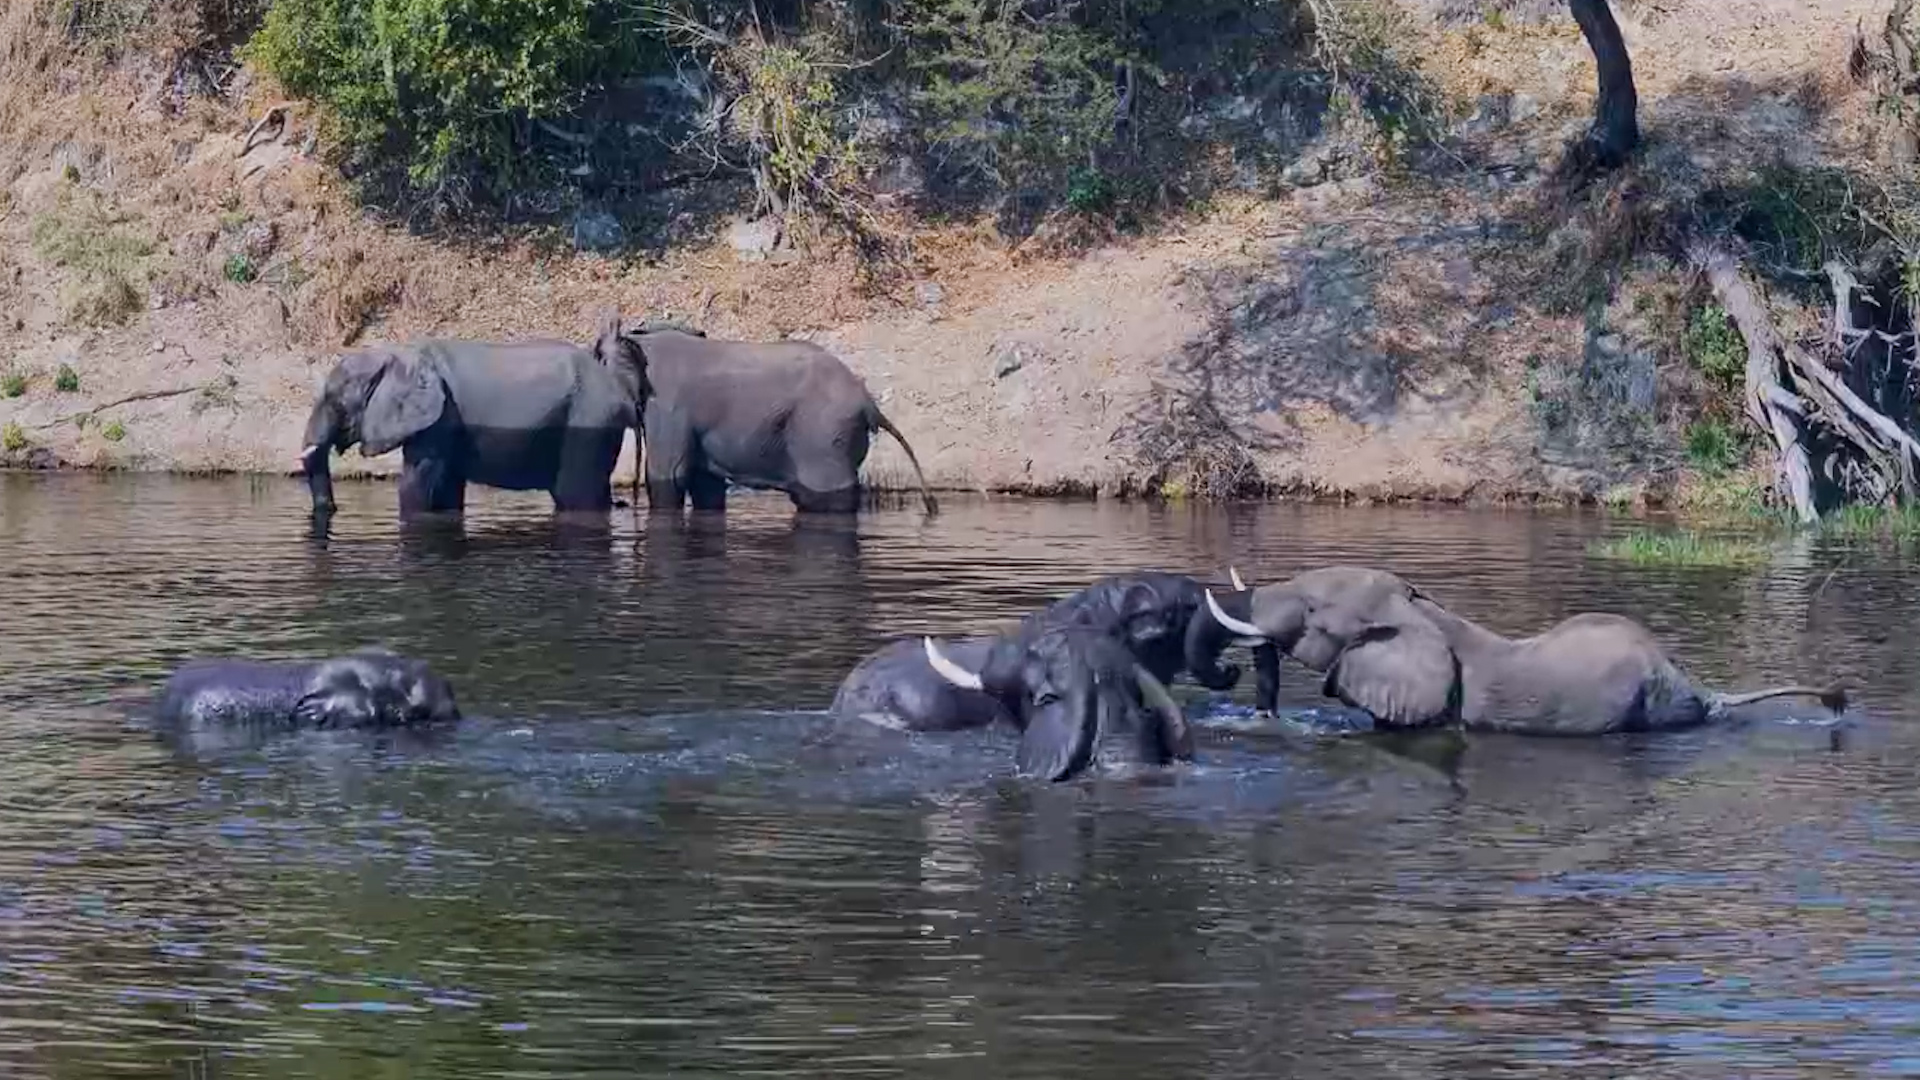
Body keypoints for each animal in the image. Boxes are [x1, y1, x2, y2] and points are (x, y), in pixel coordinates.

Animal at [298, 333, 641, 519]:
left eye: (335, 401)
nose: (333, 509)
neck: (400, 355)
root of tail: (621, 391)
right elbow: (446, 488)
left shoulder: (439, 419)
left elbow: (417, 486)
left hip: (589, 421)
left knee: (575, 496)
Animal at [589, 315, 937, 515]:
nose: (622, 504)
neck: (639, 340)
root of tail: (869, 404)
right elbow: (706, 484)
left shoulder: (669, 407)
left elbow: (668, 476)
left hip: (823, 435)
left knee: (824, 494)